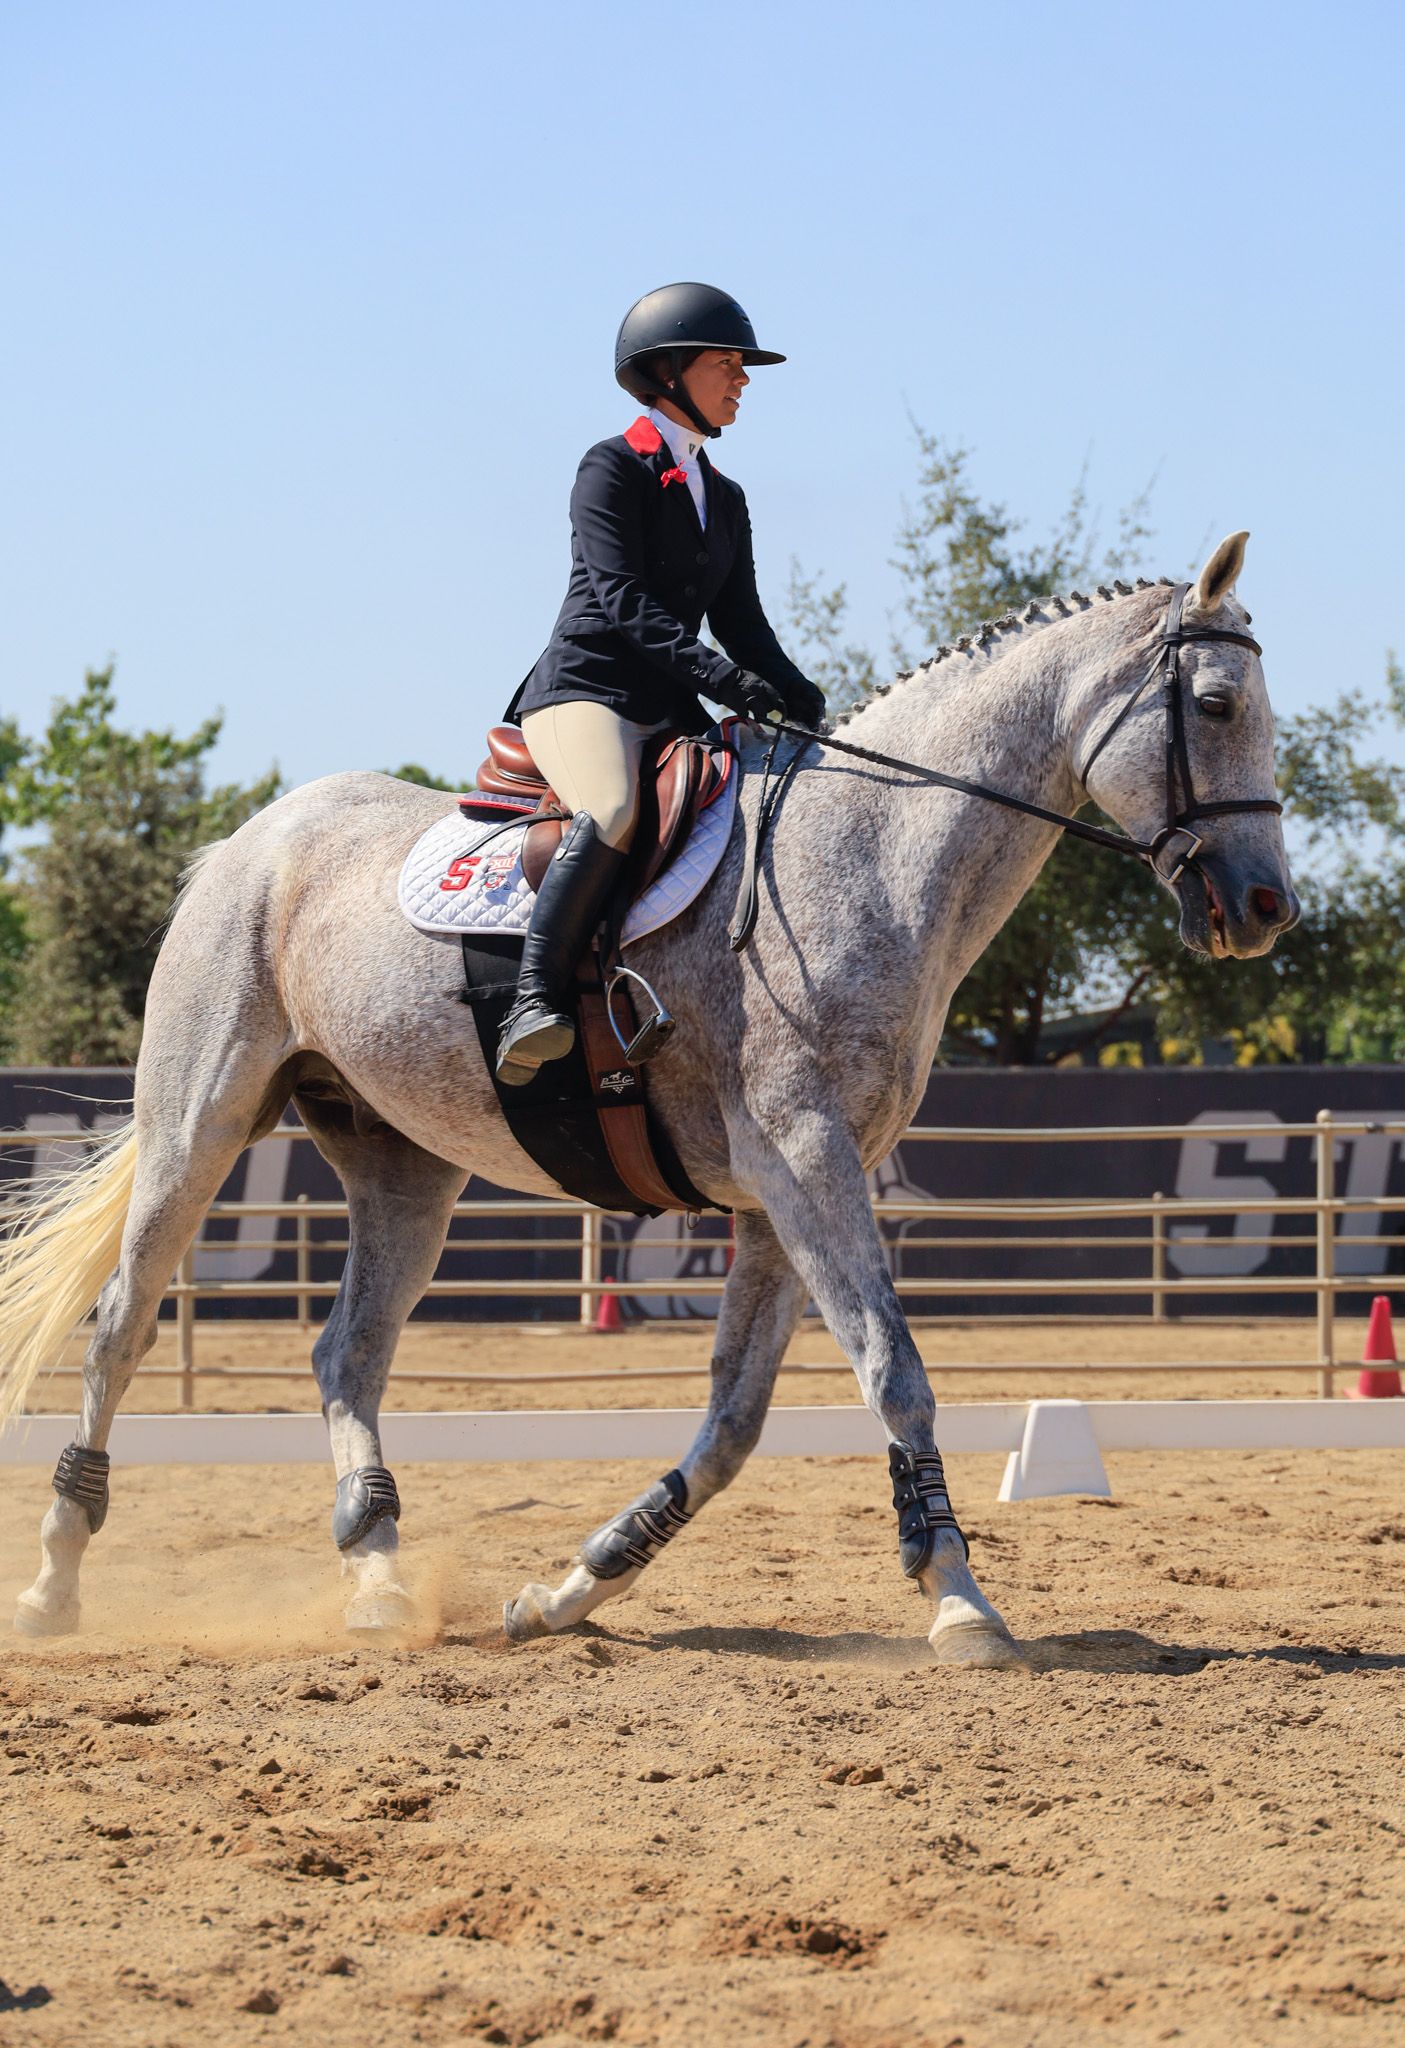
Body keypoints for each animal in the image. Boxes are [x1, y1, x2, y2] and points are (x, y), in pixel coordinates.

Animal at [0, 533, 1297, 1665]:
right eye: (1216, 706)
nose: (1264, 906)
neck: (869, 857)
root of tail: (248, 843)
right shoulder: (805, 1158)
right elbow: (892, 1368)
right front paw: (959, 1600)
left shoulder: (781, 1193)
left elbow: (734, 1420)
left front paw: (570, 1587)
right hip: (199, 1123)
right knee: (121, 1327)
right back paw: (57, 1583)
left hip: (403, 1164)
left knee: (347, 1354)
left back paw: (376, 1574)